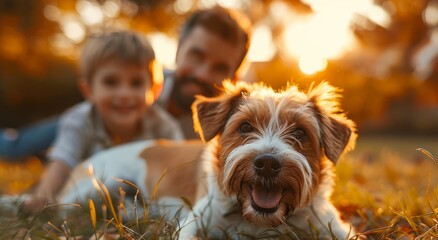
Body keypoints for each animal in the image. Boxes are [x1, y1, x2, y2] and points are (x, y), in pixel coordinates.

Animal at [178, 80, 360, 238]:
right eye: (245, 126)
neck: (260, 223)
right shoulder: (198, 217)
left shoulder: (329, 223)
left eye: (300, 132)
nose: (267, 164)